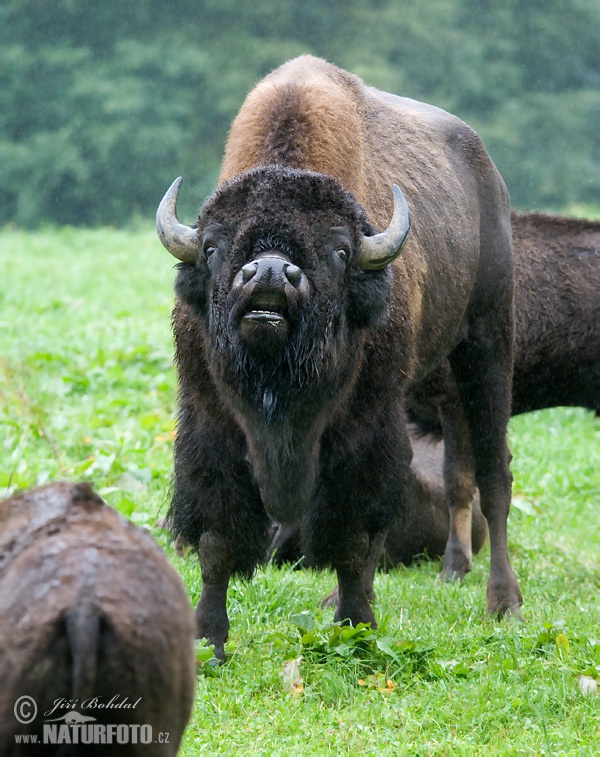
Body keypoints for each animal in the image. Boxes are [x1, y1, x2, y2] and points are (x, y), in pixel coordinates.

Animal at [157, 54, 524, 656]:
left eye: (339, 251)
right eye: (211, 246)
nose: (269, 272)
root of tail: (486, 173)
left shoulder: (366, 429)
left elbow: (355, 535)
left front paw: (357, 625)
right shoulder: (211, 427)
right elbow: (216, 539)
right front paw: (207, 639)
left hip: (488, 341)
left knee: (494, 476)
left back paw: (504, 603)